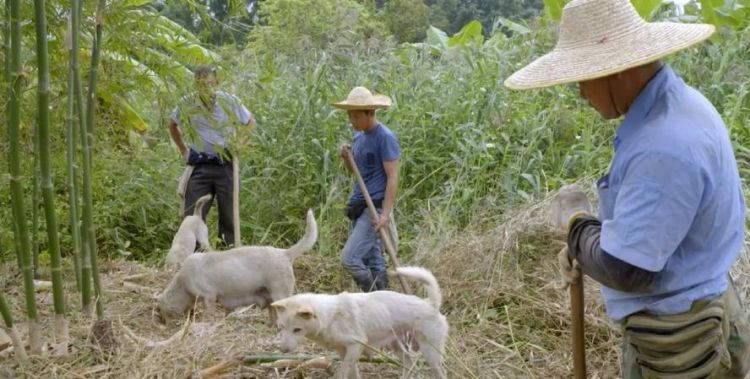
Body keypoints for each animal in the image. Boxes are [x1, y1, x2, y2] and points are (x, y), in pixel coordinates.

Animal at [157, 209, 318, 326]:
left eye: (162, 313)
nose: (165, 324)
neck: (182, 282)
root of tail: (285, 253)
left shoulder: (208, 297)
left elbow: (209, 313)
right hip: (272, 299)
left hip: (280, 294)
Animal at [270, 268, 450, 379]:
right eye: (281, 328)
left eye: (297, 330)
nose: (283, 350)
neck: (330, 316)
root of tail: (430, 304)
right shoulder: (346, 352)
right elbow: (352, 373)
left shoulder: (355, 346)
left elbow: (342, 373)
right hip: (398, 347)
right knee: (411, 366)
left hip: (431, 354)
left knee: (440, 372)